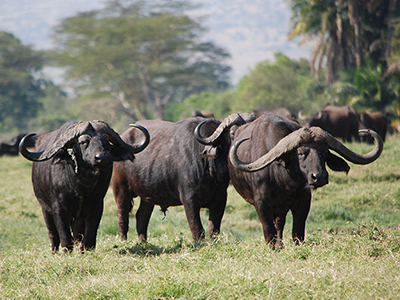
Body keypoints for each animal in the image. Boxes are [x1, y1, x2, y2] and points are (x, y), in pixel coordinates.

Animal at [19, 120, 149, 252]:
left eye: (106, 140)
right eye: (83, 142)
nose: (103, 157)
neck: (81, 186)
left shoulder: (96, 207)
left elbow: (89, 238)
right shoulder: (58, 208)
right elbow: (65, 237)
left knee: (78, 235)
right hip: (45, 208)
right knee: (53, 234)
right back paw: (54, 251)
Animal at [111, 113, 245, 243]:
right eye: (232, 133)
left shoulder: (221, 199)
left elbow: (214, 229)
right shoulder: (189, 199)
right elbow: (197, 228)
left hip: (147, 195)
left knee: (142, 217)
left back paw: (143, 242)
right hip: (121, 189)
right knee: (122, 216)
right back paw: (124, 241)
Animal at [195, 113, 382, 248]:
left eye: (324, 152)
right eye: (300, 153)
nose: (319, 177)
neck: (283, 180)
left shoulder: (304, 200)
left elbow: (297, 231)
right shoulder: (260, 203)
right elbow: (268, 230)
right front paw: (273, 247)